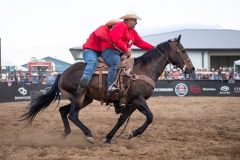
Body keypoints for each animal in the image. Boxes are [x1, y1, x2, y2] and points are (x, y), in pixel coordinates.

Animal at [22, 35, 195, 144]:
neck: (144, 70)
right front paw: (133, 133)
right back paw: (89, 135)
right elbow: (150, 117)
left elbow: (121, 120)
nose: (192, 69)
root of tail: (62, 73)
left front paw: (110, 137)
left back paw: (66, 134)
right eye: (183, 50)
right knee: (72, 115)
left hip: (85, 99)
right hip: (78, 97)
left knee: (63, 111)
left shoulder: (132, 103)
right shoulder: (138, 100)